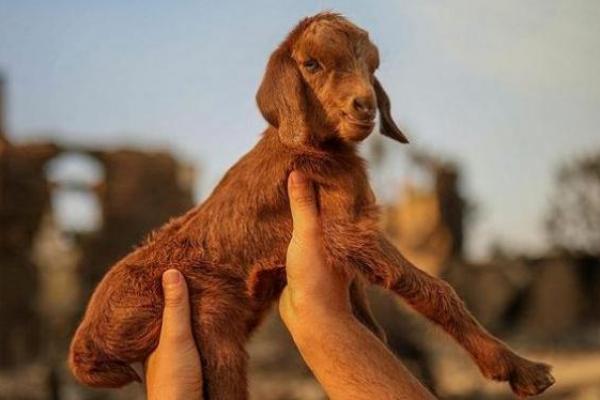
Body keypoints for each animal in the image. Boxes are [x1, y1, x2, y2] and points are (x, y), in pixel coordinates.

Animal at [71, 13, 556, 400]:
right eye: (312, 64)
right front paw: (520, 368)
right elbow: (434, 288)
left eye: (372, 66)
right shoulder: (347, 229)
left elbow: (369, 310)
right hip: (211, 321)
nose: (365, 106)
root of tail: (86, 343)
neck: (314, 147)